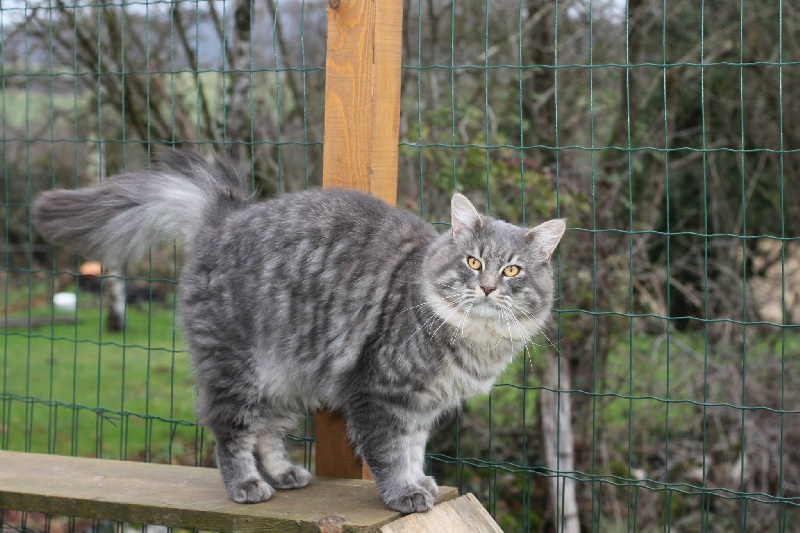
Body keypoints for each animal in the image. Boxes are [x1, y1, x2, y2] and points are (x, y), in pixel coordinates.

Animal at [32, 149, 568, 512]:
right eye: (473, 261)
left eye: (513, 271)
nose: (487, 287)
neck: (473, 339)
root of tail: (224, 217)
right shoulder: (381, 394)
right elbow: (391, 454)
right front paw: (403, 494)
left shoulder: (420, 408)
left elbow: (413, 450)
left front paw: (423, 485)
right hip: (235, 369)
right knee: (230, 432)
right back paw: (246, 486)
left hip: (286, 377)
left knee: (267, 432)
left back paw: (285, 474)